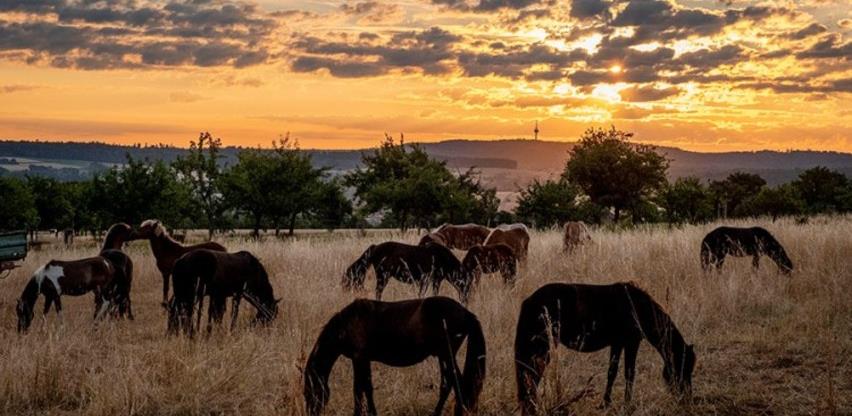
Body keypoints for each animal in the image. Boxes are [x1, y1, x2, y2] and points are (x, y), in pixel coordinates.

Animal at [304, 298, 486, 416]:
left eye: (309, 391)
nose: (311, 413)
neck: (346, 324)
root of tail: (466, 313)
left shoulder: (359, 358)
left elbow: (358, 389)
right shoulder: (365, 359)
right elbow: (367, 387)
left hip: (446, 354)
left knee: (457, 383)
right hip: (443, 356)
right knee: (447, 383)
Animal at [342, 240, 470, 302]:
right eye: (466, 285)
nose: (466, 300)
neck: (442, 258)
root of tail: (375, 247)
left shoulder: (430, 280)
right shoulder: (433, 279)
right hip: (383, 276)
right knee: (378, 292)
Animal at [516, 282, 696, 414]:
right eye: (683, 367)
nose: (687, 399)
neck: (638, 307)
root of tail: (529, 301)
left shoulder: (617, 344)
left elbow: (612, 372)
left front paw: (606, 403)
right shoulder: (631, 342)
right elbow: (629, 373)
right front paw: (627, 405)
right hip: (542, 346)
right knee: (532, 374)